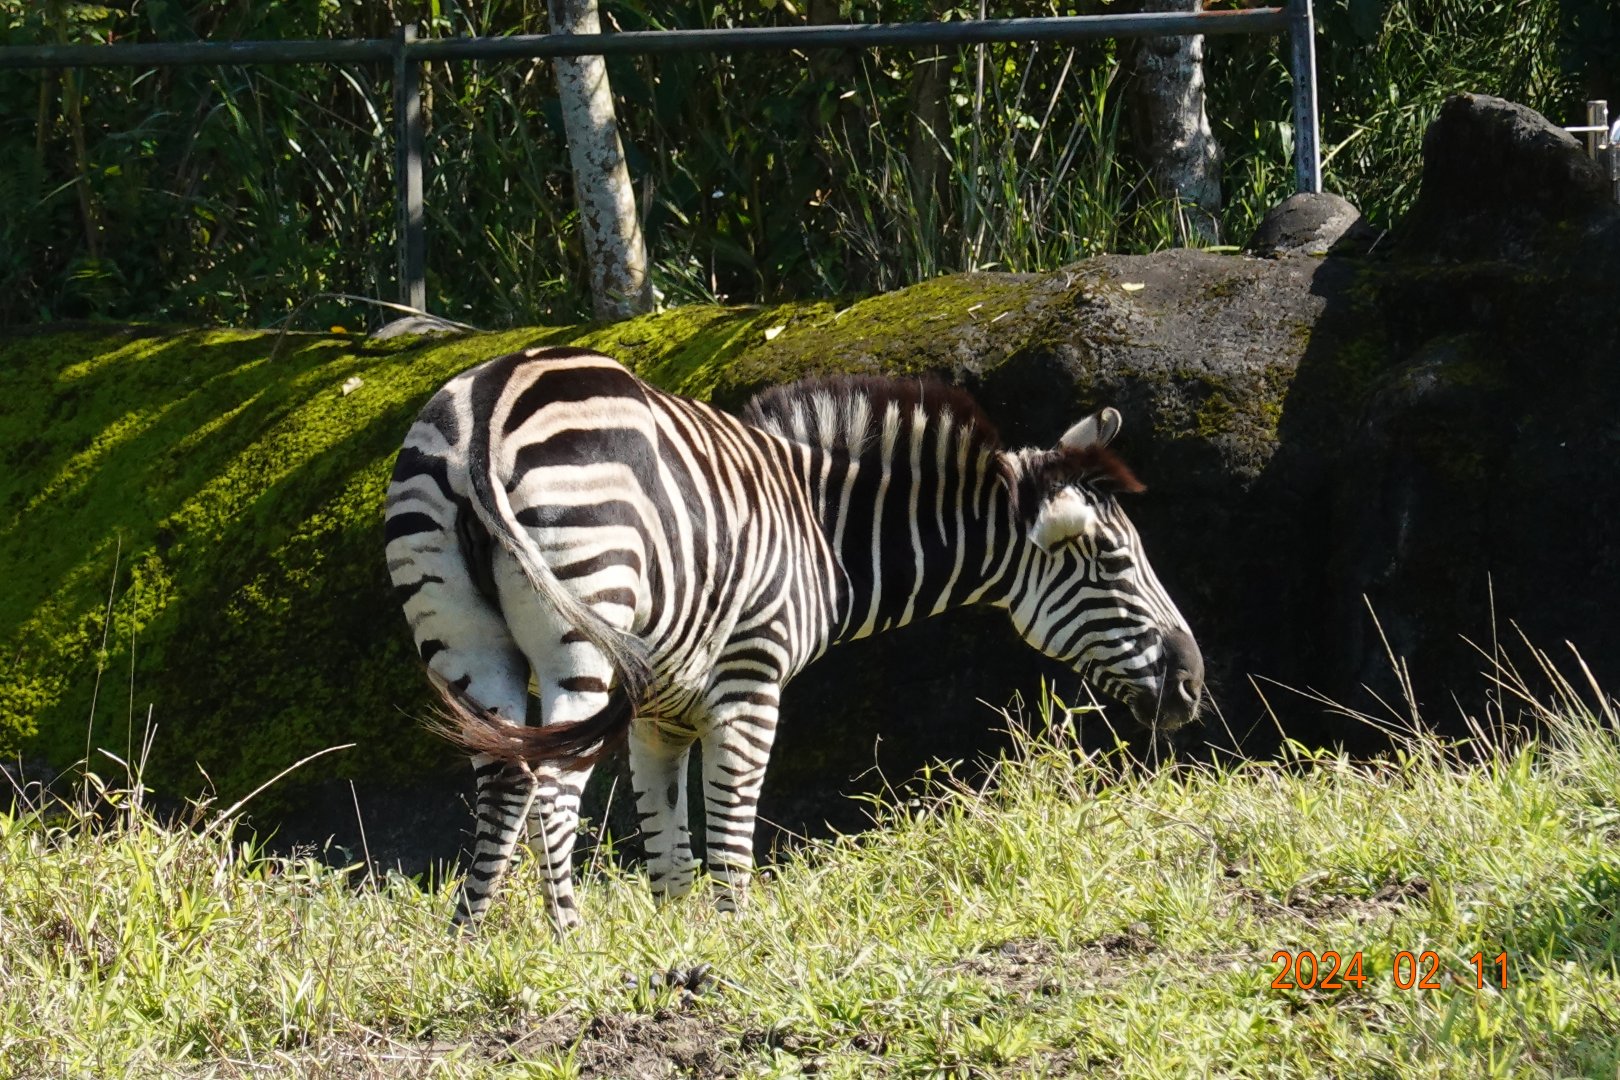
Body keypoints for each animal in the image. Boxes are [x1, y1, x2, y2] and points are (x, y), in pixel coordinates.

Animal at [384, 345, 1203, 930]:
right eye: (1113, 560)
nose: (1192, 683)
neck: (820, 529)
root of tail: (488, 407)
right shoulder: (750, 678)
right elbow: (729, 826)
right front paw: (738, 940)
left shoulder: (661, 712)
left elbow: (668, 840)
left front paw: (676, 944)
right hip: (584, 625)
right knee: (552, 782)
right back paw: (570, 940)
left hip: (463, 639)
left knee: (503, 779)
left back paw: (469, 939)